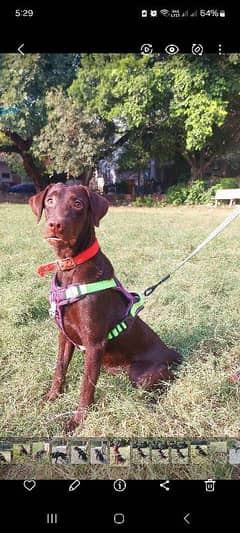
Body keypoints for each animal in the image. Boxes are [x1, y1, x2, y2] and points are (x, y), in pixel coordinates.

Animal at [29, 183, 181, 432]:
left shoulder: (94, 344)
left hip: (140, 373)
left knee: (164, 383)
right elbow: (60, 369)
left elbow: (86, 386)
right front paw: (51, 398)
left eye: (78, 203)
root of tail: (171, 353)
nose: (55, 225)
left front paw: (76, 421)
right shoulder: (64, 336)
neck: (70, 268)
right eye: (50, 200)